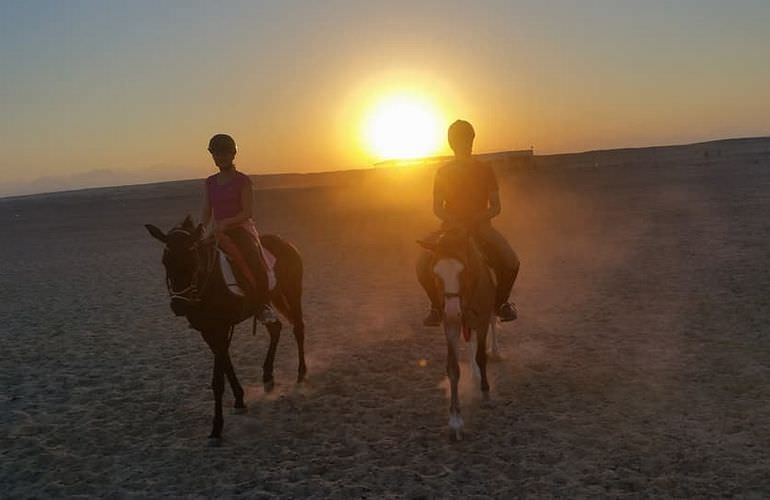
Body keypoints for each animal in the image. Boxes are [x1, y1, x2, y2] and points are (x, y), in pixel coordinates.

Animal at [146, 217, 304, 440]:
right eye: (165, 261)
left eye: (191, 260)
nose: (178, 306)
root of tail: (286, 243)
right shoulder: (209, 333)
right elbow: (227, 367)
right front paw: (239, 400)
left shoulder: (221, 329)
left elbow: (217, 381)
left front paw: (217, 427)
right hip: (273, 298)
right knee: (276, 328)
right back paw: (267, 376)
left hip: (292, 291)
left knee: (298, 328)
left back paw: (301, 373)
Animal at [414, 229, 498, 440]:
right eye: (436, 274)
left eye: (464, 271)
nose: (452, 311)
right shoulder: (451, 325)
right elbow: (453, 368)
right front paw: (455, 421)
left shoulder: (482, 318)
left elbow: (481, 356)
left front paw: (486, 393)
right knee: (470, 341)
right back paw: (475, 374)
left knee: (492, 324)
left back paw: (495, 351)